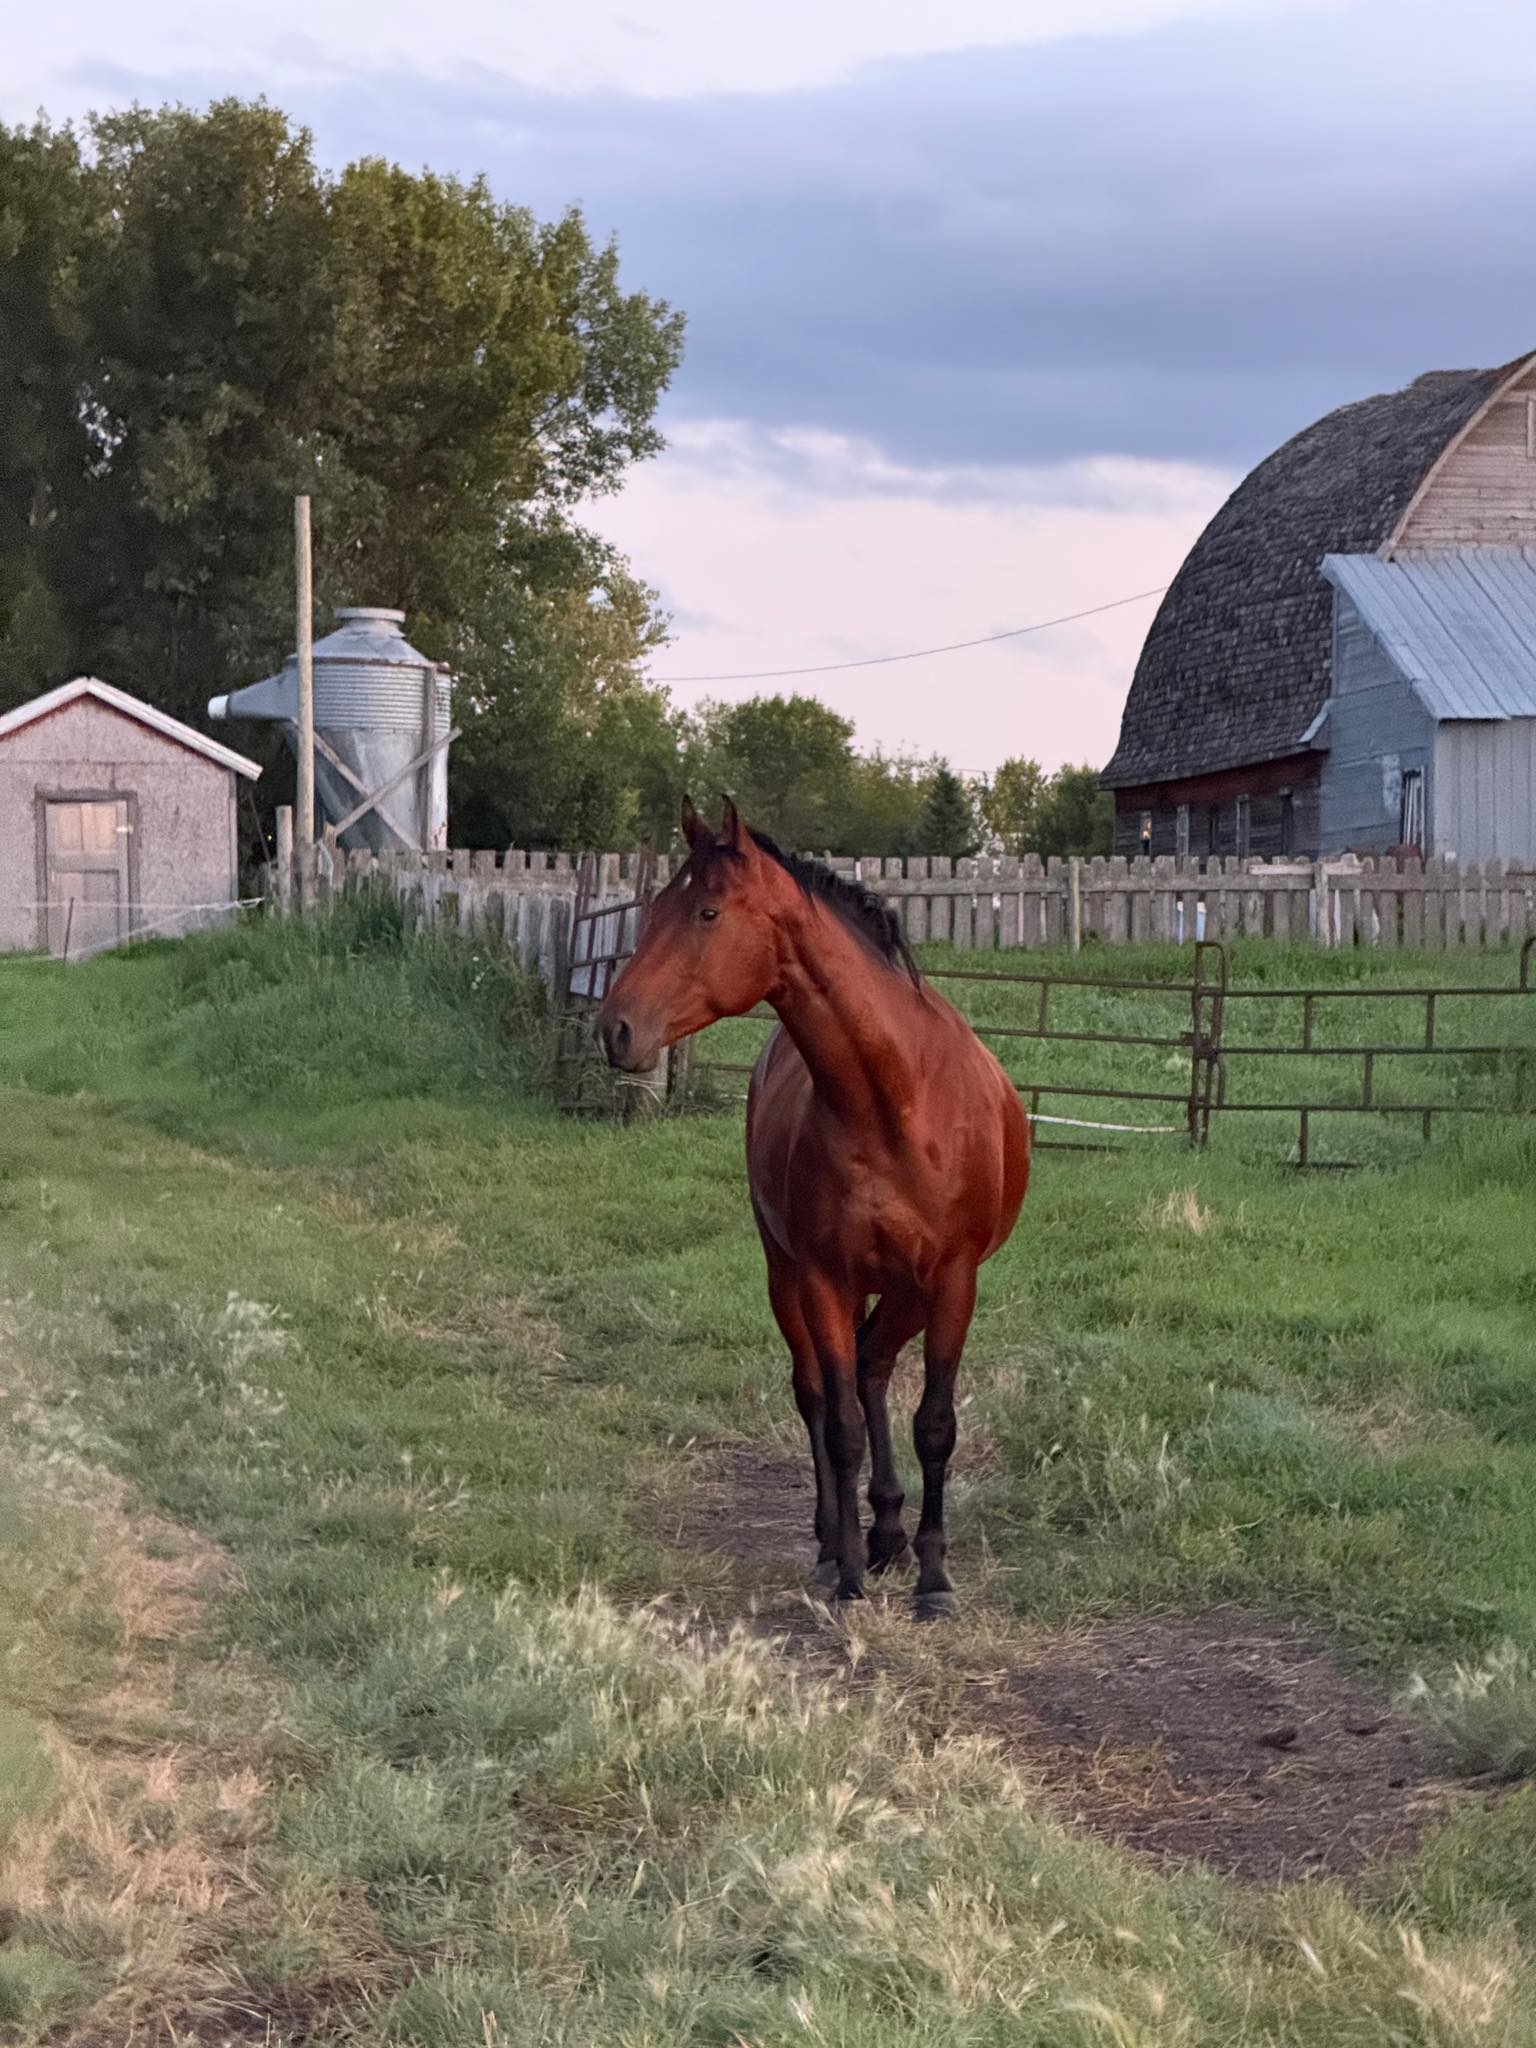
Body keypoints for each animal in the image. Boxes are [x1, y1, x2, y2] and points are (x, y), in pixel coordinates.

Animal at [599, 798, 1030, 1617]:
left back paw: (891, 1531)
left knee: (873, 1368)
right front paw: (851, 1573)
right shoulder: (826, 1278)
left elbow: (933, 1424)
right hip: (788, 1274)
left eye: (706, 911)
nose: (616, 1029)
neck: (897, 1100)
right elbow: (840, 1426)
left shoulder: (952, 1281)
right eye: (657, 908)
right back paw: (841, 1542)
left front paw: (933, 1577)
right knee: (822, 1392)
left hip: (904, 1291)